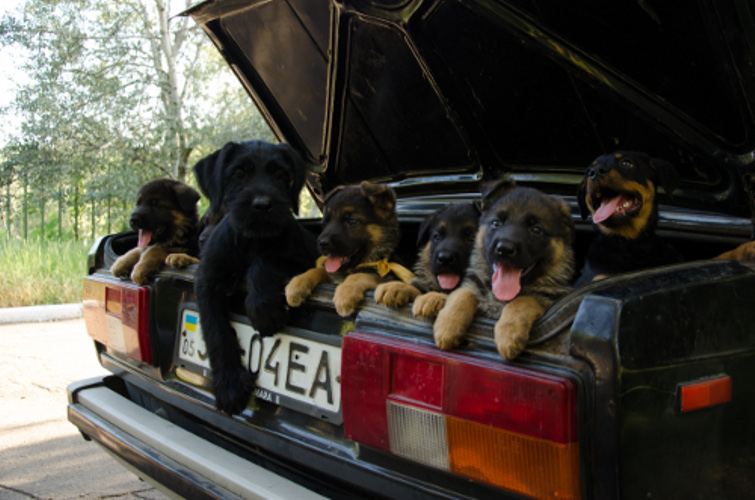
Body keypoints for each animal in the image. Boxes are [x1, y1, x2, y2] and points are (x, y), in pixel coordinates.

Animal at [193, 140, 318, 414]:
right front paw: (230, 386)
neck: (250, 242)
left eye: (280, 175)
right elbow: (215, 330)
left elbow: (265, 262)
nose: (262, 205)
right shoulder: (207, 281)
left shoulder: (298, 260)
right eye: (239, 173)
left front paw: (264, 311)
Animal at [284, 182, 414, 318]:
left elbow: (359, 275)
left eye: (352, 221)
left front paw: (345, 293)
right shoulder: (333, 273)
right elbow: (318, 270)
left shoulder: (387, 276)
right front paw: (297, 283)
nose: (321, 243)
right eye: (326, 222)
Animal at [434, 178, 576, 362]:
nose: (504, 249)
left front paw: (509, 333)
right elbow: (461, 294)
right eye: (496, 223)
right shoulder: (473, 284)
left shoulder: (547, 299)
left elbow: (522, 301)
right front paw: (448, 324)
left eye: (536, 230)